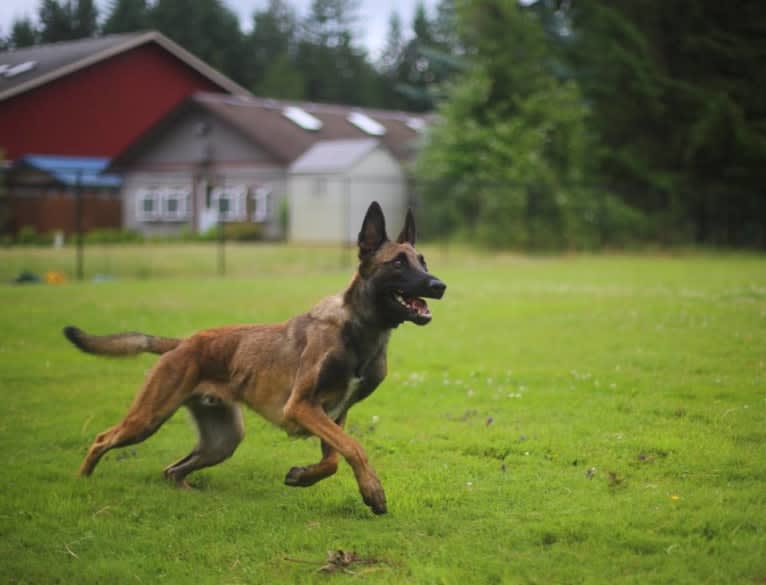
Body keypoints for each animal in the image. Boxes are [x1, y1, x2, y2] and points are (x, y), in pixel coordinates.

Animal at [67, 203, 450, 512]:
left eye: (423, 261)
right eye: (398, 262)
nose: (439, 286)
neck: (358, 331)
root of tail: (183, 343)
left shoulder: (333, 415)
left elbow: (334, 459)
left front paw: (302, 475)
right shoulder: (302, 406)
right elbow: (354, 448)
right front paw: (373, 491)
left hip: (223, 440)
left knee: (170, 470)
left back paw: (188, 493)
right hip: (148, 418)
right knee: (103, 439)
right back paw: (81, 480)